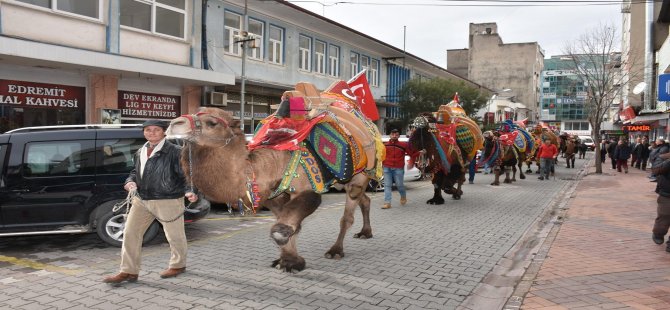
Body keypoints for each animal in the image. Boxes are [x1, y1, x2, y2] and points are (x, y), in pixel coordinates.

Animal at [166, 81, 386, 272]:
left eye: (212, 122)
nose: (174, 123)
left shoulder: (307, 188)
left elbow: (283, 227)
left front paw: (290, 258)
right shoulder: (273, 196)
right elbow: (289, 223)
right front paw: (288, 261)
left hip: (359, 176)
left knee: (347, 215)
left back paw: (336, 251)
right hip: (346, 181)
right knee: (364, 200)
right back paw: (365, 233)